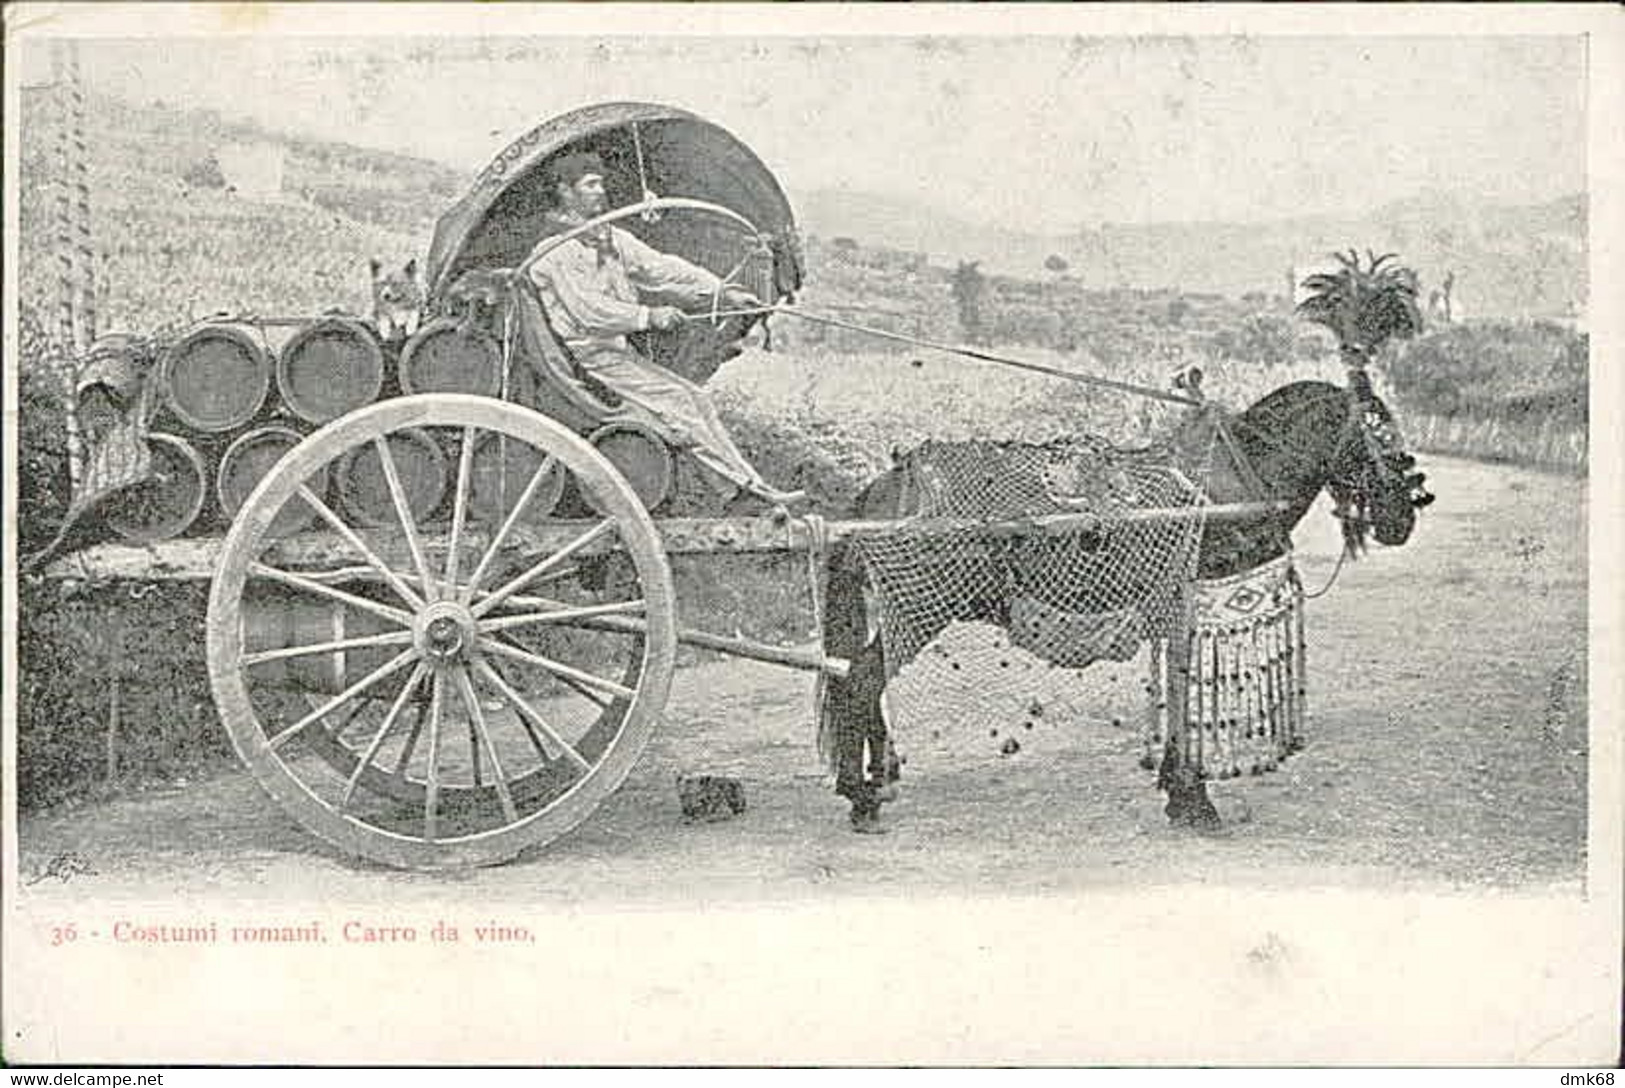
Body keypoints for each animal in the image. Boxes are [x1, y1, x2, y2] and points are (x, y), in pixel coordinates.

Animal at [825, 373, 1436, 837]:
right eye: (1382, 436)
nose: (1403, 519)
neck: (1235, 480)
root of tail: (879, 489)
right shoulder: (1196, 605)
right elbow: (1187, 690)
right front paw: (1194, 797)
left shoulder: (1178, 609)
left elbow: (1177, 688)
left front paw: (1175, 788)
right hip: (923, 606)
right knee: (860, 680)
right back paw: (863, 797)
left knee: (855, 677)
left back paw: (876, 779)